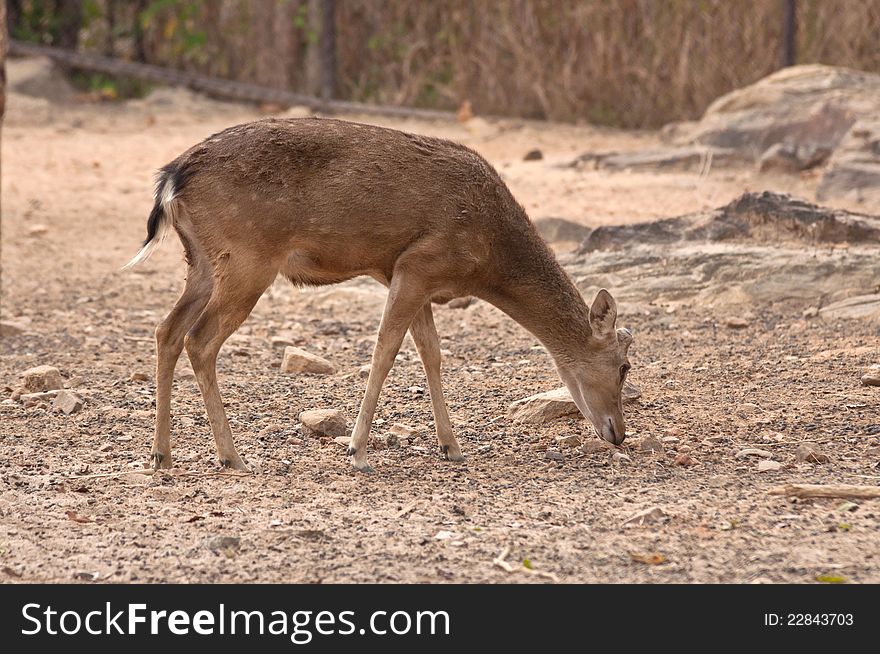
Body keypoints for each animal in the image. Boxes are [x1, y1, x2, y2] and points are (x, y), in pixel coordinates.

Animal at [125, 118, 632, 474]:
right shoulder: (417, 264)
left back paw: (161, 455)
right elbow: (386, 350)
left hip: (202, 262)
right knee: (200, 338)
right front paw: (357, 451)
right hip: (247, 259)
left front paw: (451, 446)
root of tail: (172, 178)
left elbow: (431, 354)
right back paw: (231, 457)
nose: (619, 433)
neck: (487, 259)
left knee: (166, 330)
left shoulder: (412, 277)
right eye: (626, 366)